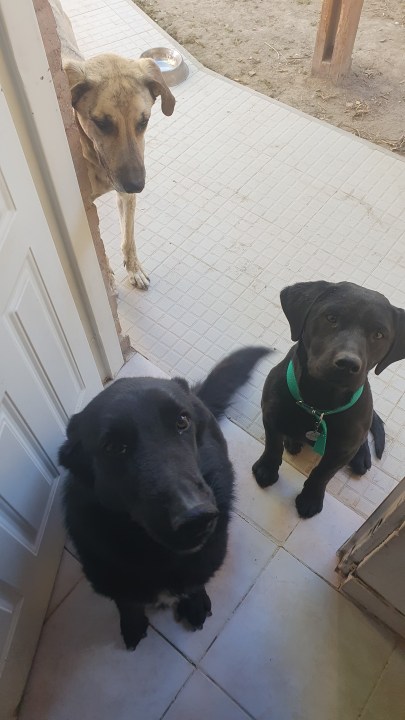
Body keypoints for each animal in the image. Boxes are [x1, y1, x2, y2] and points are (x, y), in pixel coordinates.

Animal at [50, 0, 176, 289]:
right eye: (102, 123)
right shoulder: (87, 209)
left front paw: (134, 268)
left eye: (144, 121)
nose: (137, 185)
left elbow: (128, 237)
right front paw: (106, 275)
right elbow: (99, 250)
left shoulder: (126, 195)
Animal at [59, 346, 269, 650]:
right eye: (113, 447)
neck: (158, 554)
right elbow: (127, 601)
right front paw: (132, 622)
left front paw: (194, 601)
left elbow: (194, 583)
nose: (196, 517)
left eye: (182, 421)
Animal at [252, 281, 405, 519]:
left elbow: (322, 473)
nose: (348, 364)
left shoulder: (341, 451)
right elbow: (272, 446)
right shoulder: (270, 416)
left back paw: (362, 456)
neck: (319, 403)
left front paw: (311, 498)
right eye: (331, 318)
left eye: (379, 334)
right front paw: (266, 468)